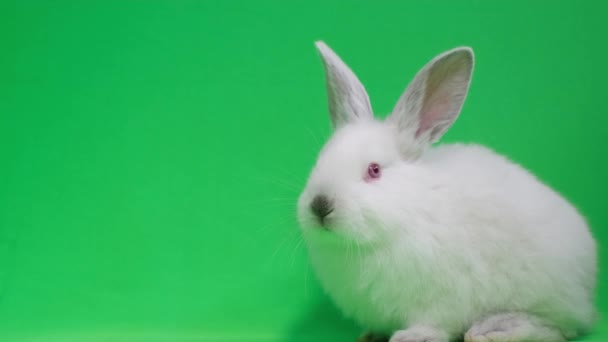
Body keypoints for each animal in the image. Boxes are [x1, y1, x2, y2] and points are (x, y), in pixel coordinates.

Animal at [296, 40, 596, 342]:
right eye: (319, 160)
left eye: (374, 170)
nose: (320, 206)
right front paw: (369, 335)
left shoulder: (442, 299)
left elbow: (435, 323)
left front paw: (411, 337)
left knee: (559, 328)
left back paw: (494, 328)